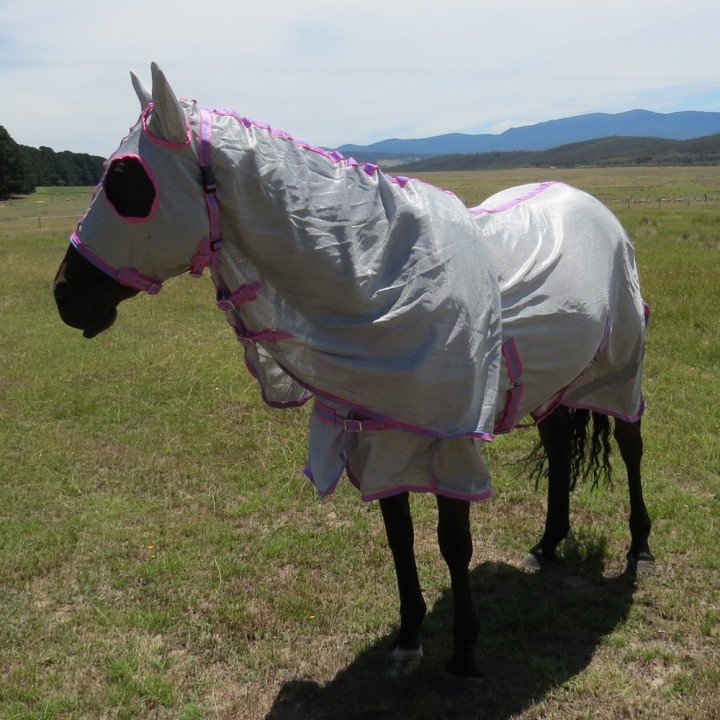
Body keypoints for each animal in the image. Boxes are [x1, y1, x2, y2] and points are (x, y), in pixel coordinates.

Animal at [53, 63, 654, 678]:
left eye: (127, 182)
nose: (65, 295)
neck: (385, 282)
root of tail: (588, 203)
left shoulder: (449, 441)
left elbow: (452, 543)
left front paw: (464, 650)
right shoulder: (379, 433)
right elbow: (399, 536)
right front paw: (409, 636)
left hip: (621, 368)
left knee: (630, 444)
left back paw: (641, 548)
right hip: (553, 383)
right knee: (558, 448)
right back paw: (548, 544)